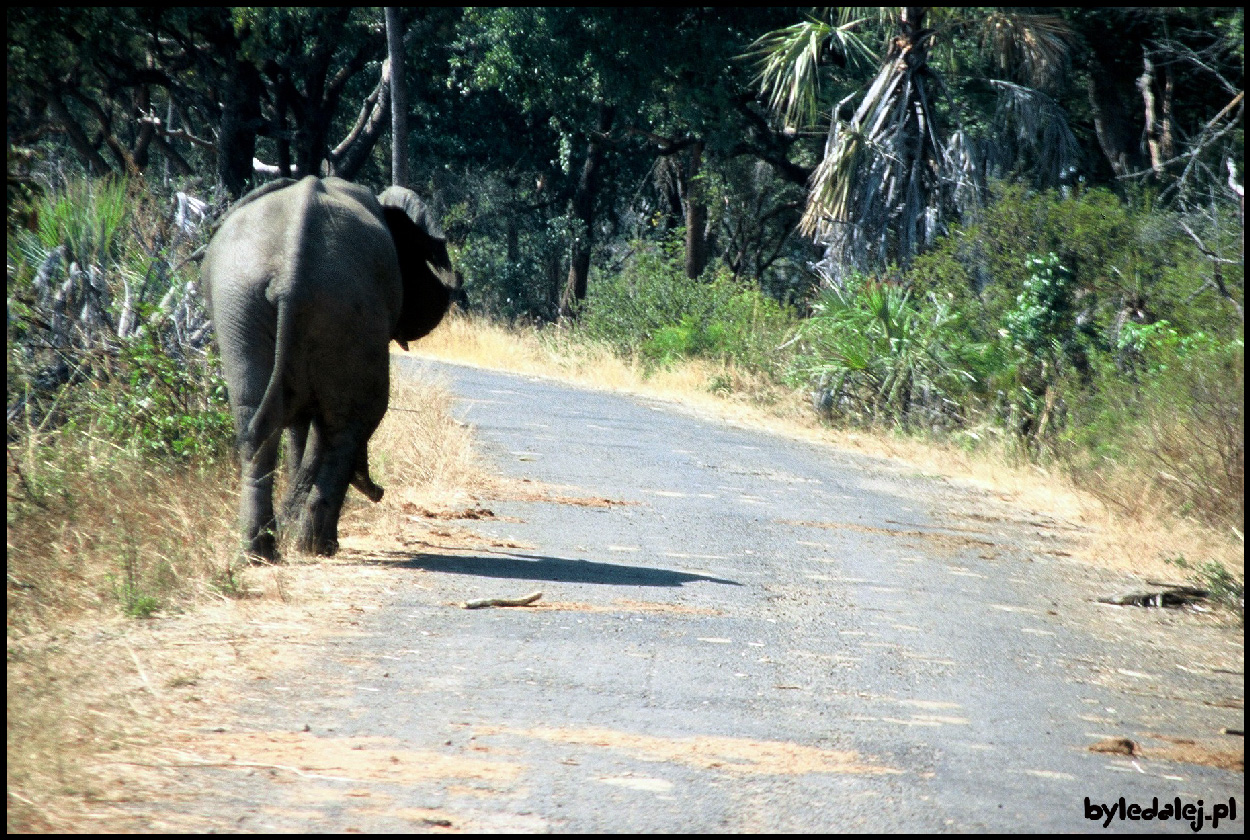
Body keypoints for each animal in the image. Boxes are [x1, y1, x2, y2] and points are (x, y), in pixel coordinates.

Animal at [202, 175, 457, 560]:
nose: (380, 492)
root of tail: (290, 271)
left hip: (244, 307)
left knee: (255, 421)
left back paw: (263, 551)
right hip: (334, 312)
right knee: (350, 423)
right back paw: (316, 546)